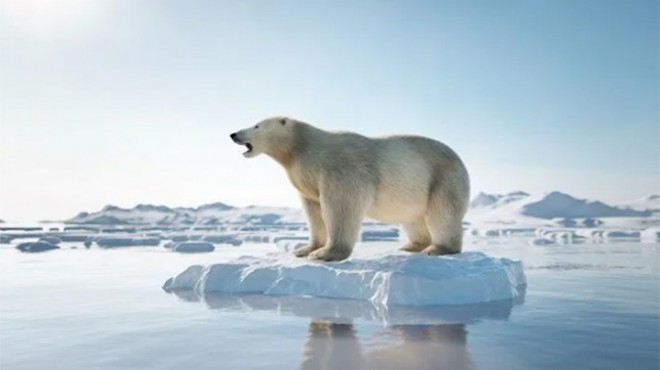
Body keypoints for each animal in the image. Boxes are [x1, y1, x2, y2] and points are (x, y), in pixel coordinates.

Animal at [232, 117, 470, 262]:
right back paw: (412, 246)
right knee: (413, 218)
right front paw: (305, 249)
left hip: (443, 178)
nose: (233, 134)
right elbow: (314, 211)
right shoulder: (306, 179)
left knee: (442, 214)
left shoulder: (340, 168)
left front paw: (326, 253)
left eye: (256, 125)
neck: (304, 148)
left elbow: (342, 205)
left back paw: (438, 248)